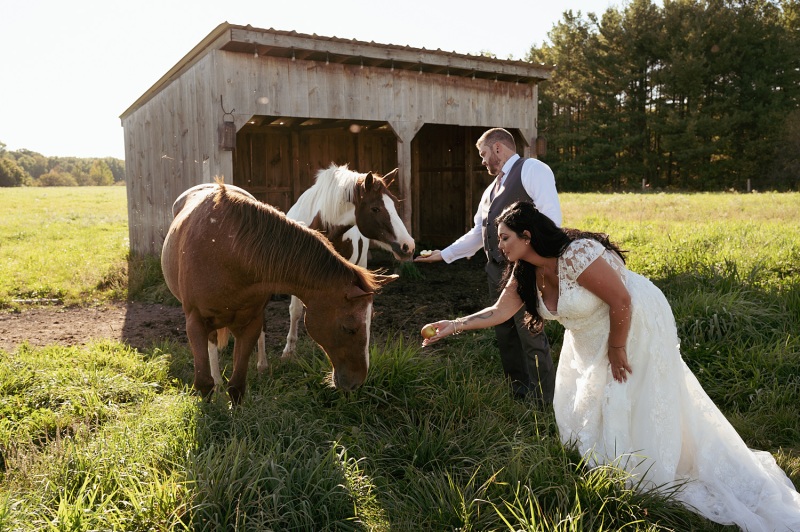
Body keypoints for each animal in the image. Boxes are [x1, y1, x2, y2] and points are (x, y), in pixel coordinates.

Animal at [162, 181, 396, 402]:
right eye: (349, 328)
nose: (358, 382)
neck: (228, 251)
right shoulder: (195, 322)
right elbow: (204, 382)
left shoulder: (250, 323)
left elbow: (237, 385)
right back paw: (218, 381)